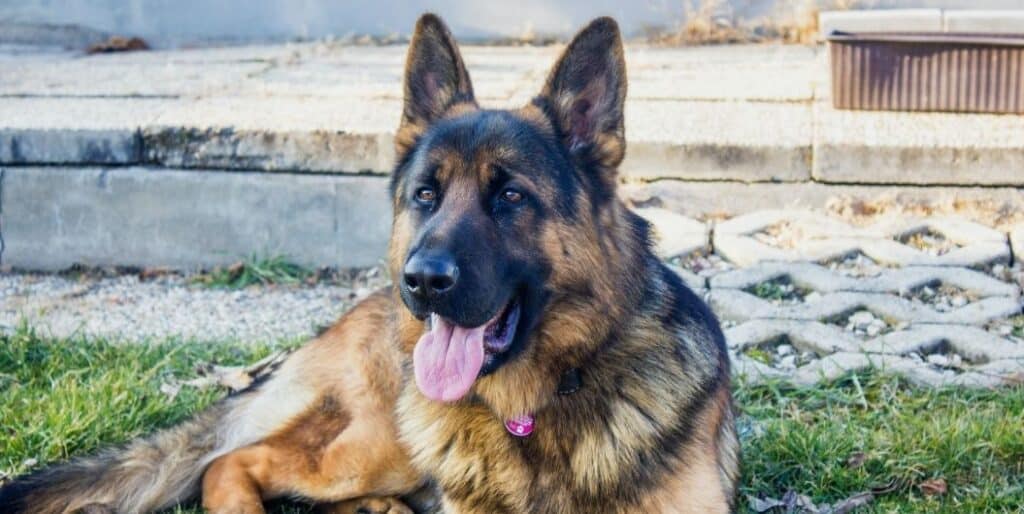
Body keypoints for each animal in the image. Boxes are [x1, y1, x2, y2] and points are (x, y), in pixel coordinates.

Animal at [0, 13, 741, 514]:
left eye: (510, 196)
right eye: (425, 195)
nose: (422, 282)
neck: (539, 403)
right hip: (379, 442)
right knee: (232, 462)